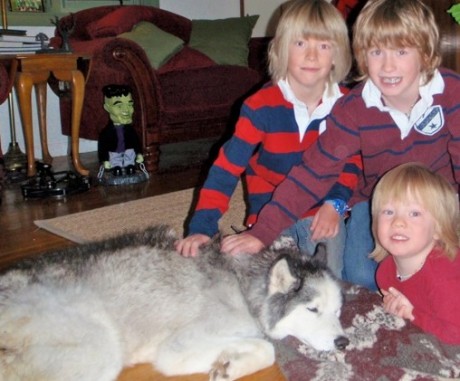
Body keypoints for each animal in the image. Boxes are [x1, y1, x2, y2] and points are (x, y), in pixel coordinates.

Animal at [0, 226, 346, 380]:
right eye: (312, 309)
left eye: (338, 310)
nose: (344, 343)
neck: (242, 283)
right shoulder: (175, 350)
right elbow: (267, 348)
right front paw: (231, 367)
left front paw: (228, 362)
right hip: (98, 352)